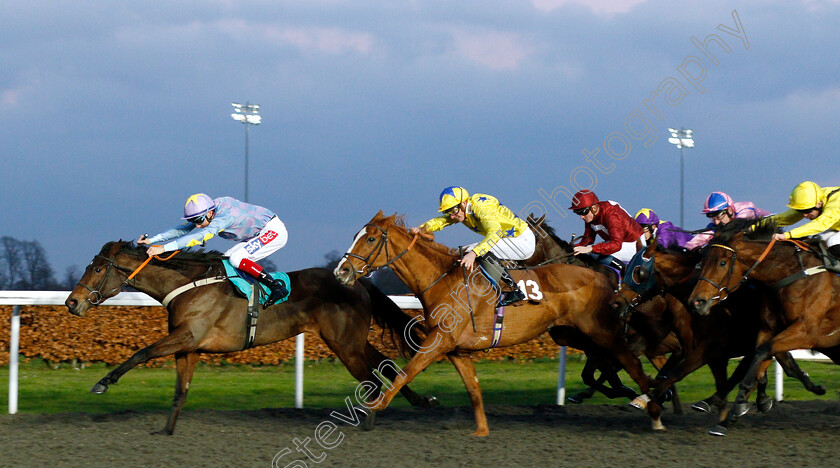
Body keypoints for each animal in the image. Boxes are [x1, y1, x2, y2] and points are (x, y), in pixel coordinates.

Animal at [65, 241, 440, 436]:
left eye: (97, 268)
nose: (72, 303)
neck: (187, 284)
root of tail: (356, 282)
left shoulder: (186, 335)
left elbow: (140, 353)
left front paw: (103, 382)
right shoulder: (189, 346)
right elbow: (180, 392)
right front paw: (167, 431)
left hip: (345, 345)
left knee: (372, 379)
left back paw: (370, 421)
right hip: (352, 342)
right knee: (387, 364)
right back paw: (421, 401)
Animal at [334, 212, 656, 436]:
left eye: (370, 239)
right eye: (356, 235)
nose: (342, 271)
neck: (441, 279)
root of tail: (601, 276)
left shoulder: (439, 341)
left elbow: (405, 372)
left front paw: (372, 409)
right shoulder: (456, 349)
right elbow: (474, 390)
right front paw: (481, 431)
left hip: (599, 330)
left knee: (629, 360)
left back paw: (652, 406)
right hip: (571, 335)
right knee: (610, 362)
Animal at [688, 219, 840, 436]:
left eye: (722, 262)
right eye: (702, 261)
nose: (696, 302)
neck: (791, 274)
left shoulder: (806, 331)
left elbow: (761, 353)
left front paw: (740, 404)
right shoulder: (769, 329)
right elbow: (762, 359)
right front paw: (730, 416)